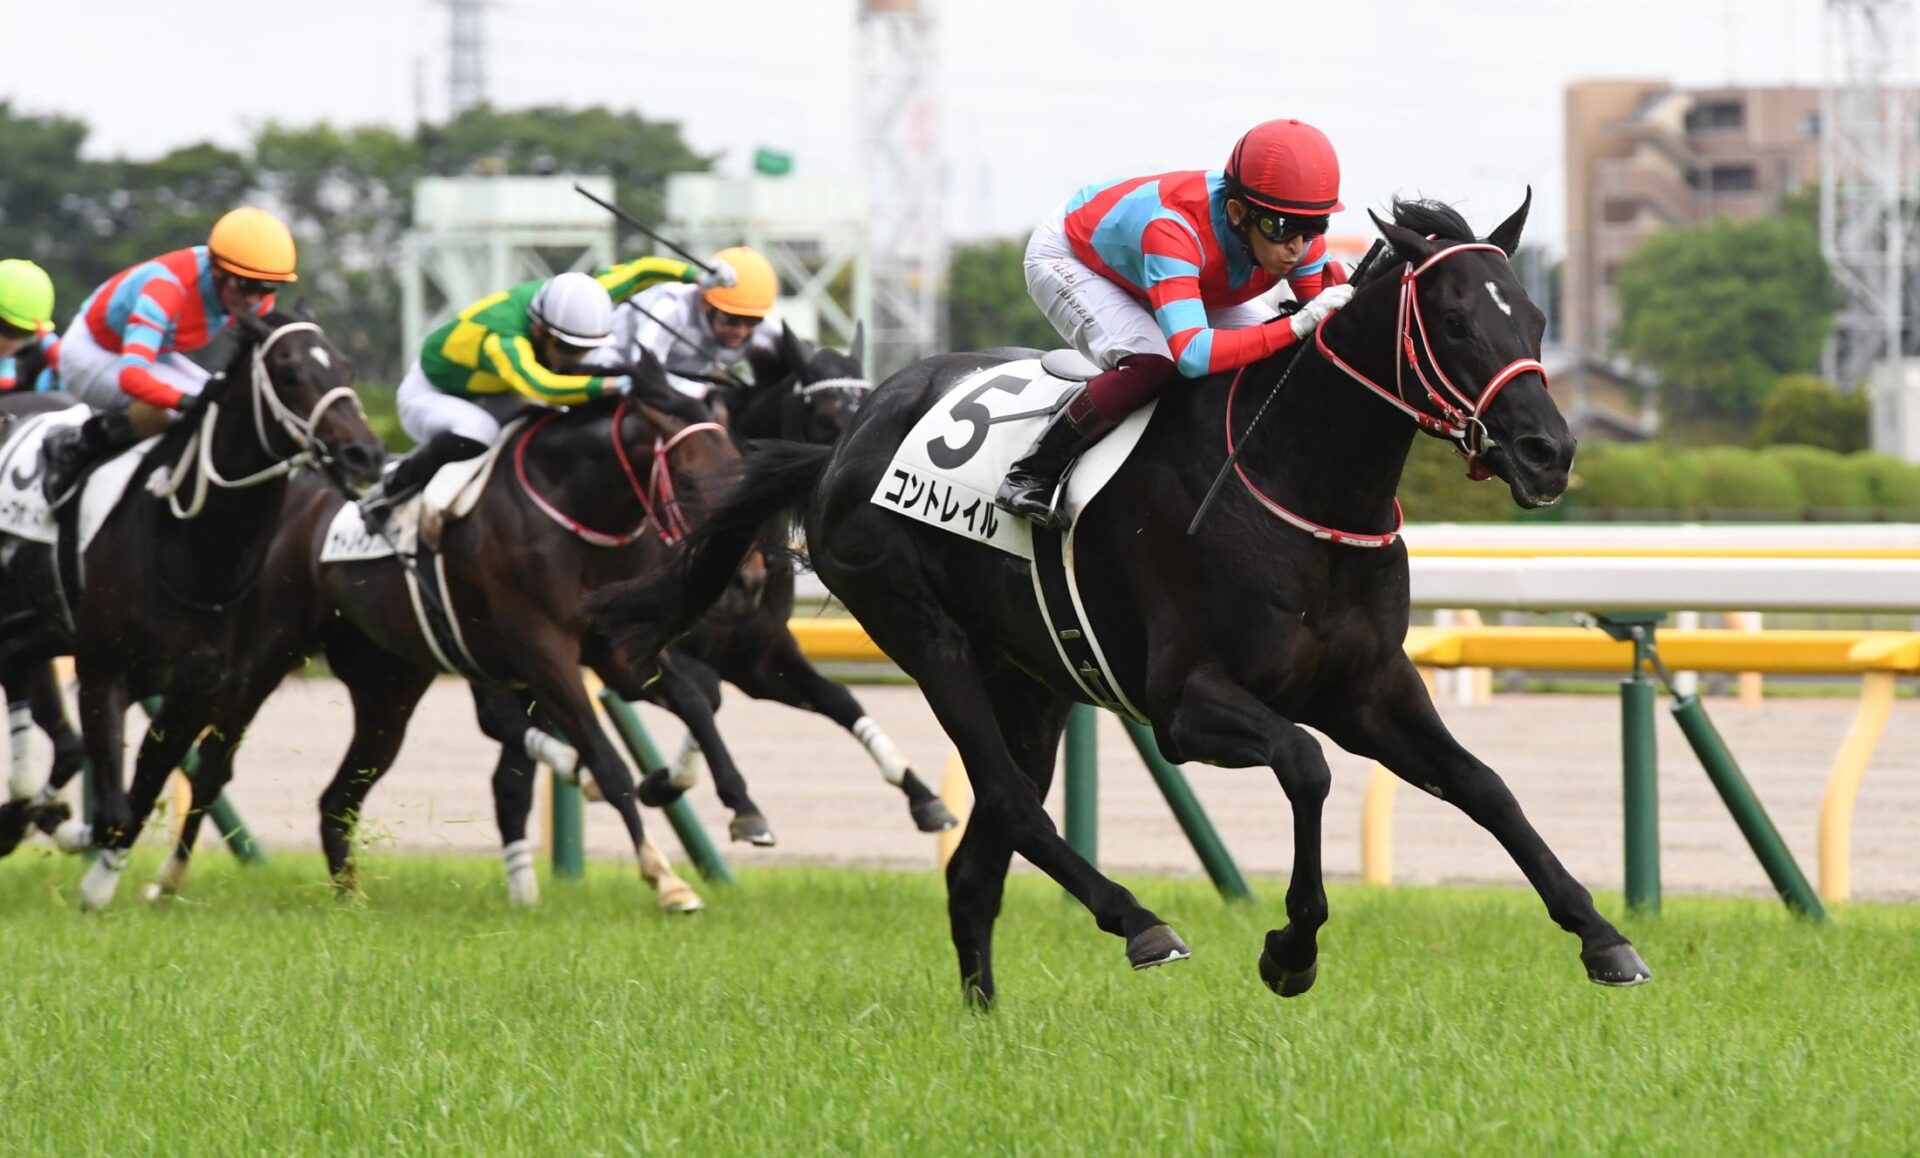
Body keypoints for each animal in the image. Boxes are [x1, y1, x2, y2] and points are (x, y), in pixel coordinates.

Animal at [587, 196, 1651, 1006]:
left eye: (1536, 321)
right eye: (1459, 324)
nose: (1548, 453)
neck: (1297, 481)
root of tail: (844, 444)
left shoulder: (1372, 690)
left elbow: (1485, 786)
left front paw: (1601, 935)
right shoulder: (1185, 704)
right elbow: (1306, 766)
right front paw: (1290, 949)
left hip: (1033, 680)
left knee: (976, 868)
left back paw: (987, 1018)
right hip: (925, 635)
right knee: (1010, 803)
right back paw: (1138, 921)